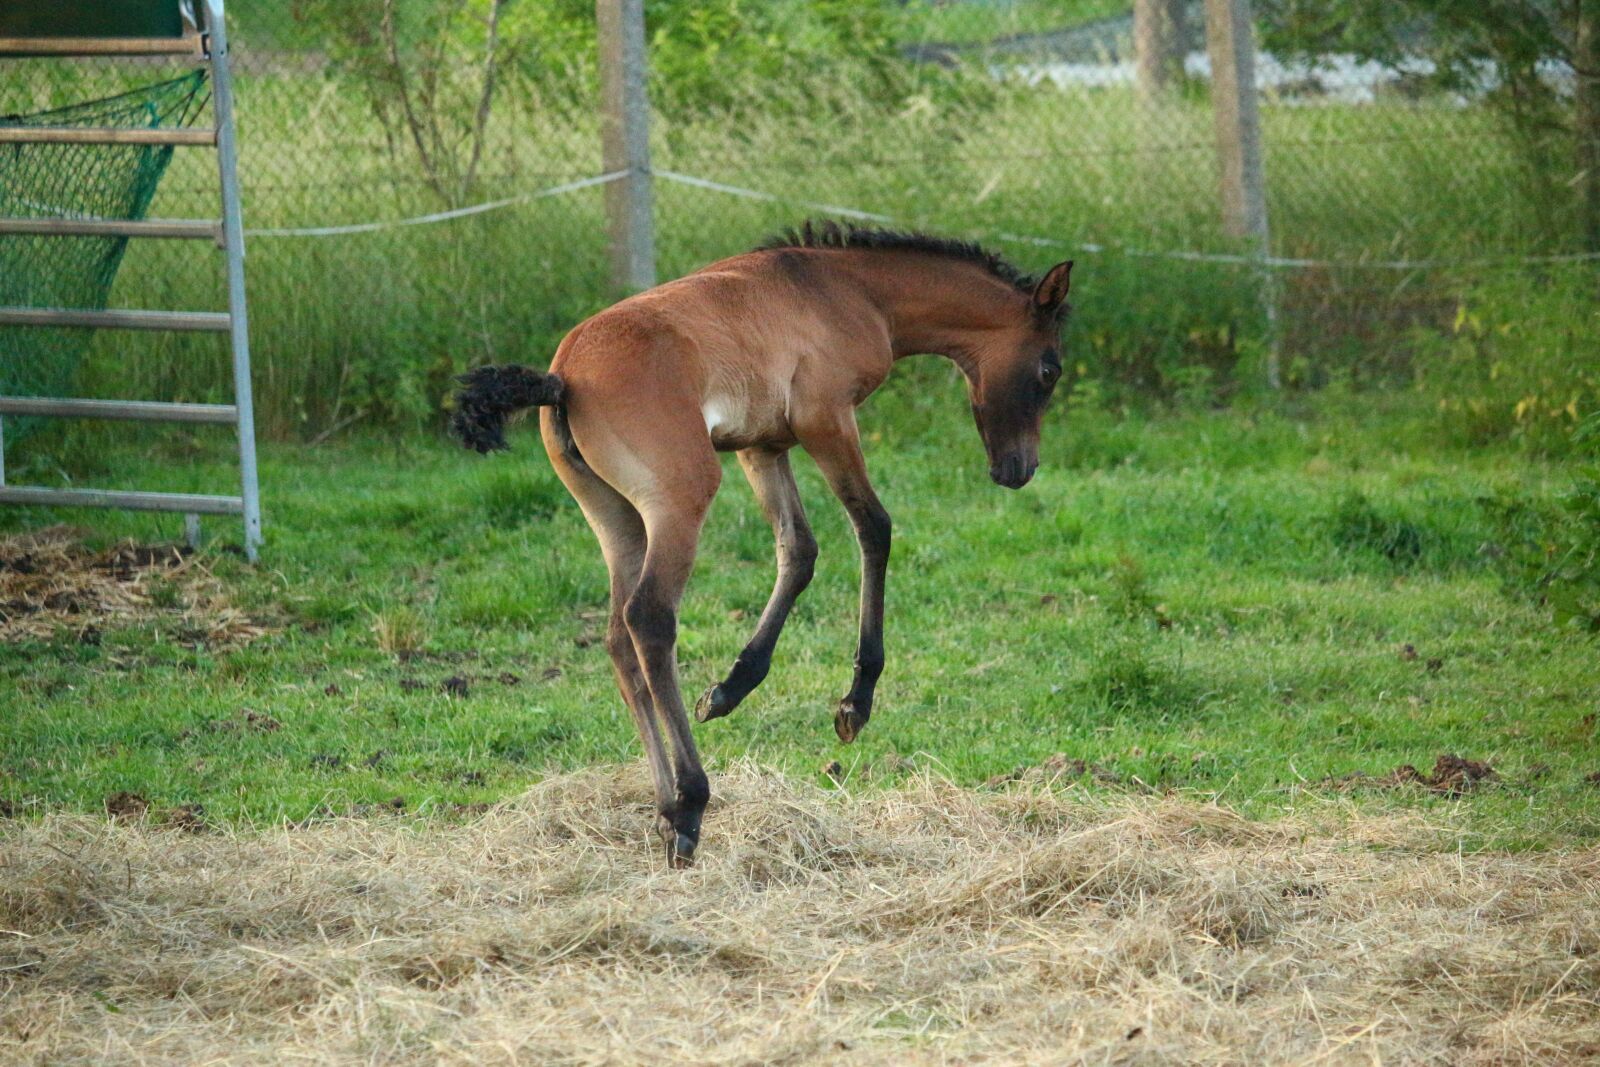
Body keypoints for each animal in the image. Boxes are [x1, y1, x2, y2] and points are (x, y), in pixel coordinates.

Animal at [452, 220, 1073, 866]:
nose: (1019, 470)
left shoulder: (763, 446)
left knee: (620, 638)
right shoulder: (826, 419)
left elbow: (798, 551)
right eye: (1049, 369)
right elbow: (873, 528)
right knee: (650, 617)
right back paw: (689, 806)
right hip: (679, 501)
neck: (848, 289)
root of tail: (564, 376)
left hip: (614, 518)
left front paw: (729, 688)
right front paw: (855, 703)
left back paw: (664, 810)